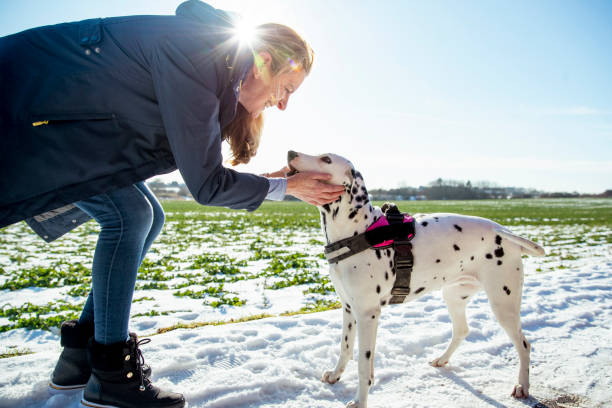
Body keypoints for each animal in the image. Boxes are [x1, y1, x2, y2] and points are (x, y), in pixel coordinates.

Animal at [286, 151, 544, 406]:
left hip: (503, 304)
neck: (358, 230)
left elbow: (363, 364)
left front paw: (360, 401)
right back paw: (442, 359)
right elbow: (345, 348)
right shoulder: (349, 308)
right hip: (454, 296)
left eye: (326, 159)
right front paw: (336, 374)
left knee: (524, 345)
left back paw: (522, 386)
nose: (291, 152)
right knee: (461, 330)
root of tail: (504, 231)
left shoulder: (367, 314)